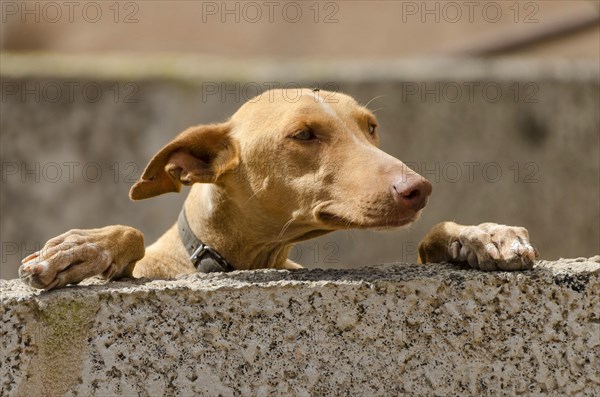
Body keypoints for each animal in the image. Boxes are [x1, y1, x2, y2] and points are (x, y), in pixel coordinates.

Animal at [18, 88, 536, 290]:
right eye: (304, 134)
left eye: (371, 127)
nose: (419, 189)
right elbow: (131, 233)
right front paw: (80, 248)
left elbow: (433, 237)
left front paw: (480, 236)